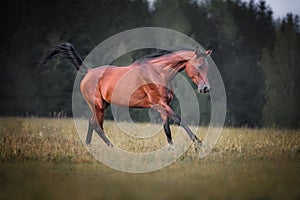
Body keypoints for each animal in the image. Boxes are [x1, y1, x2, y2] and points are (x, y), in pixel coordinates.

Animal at [41, 42, 211, 148]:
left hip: (104, 104)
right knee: (98, 126)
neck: (158, 72)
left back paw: (89, 147)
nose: (205, 88)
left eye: (207, 66)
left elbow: (167, 128)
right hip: (98, 105)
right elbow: (180, 120)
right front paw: (199, 144)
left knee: (92, 123)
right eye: (199, 65)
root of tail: (88, 72)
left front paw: (172, 149)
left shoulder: (164, 106)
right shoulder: (159, 104)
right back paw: (111, 148)